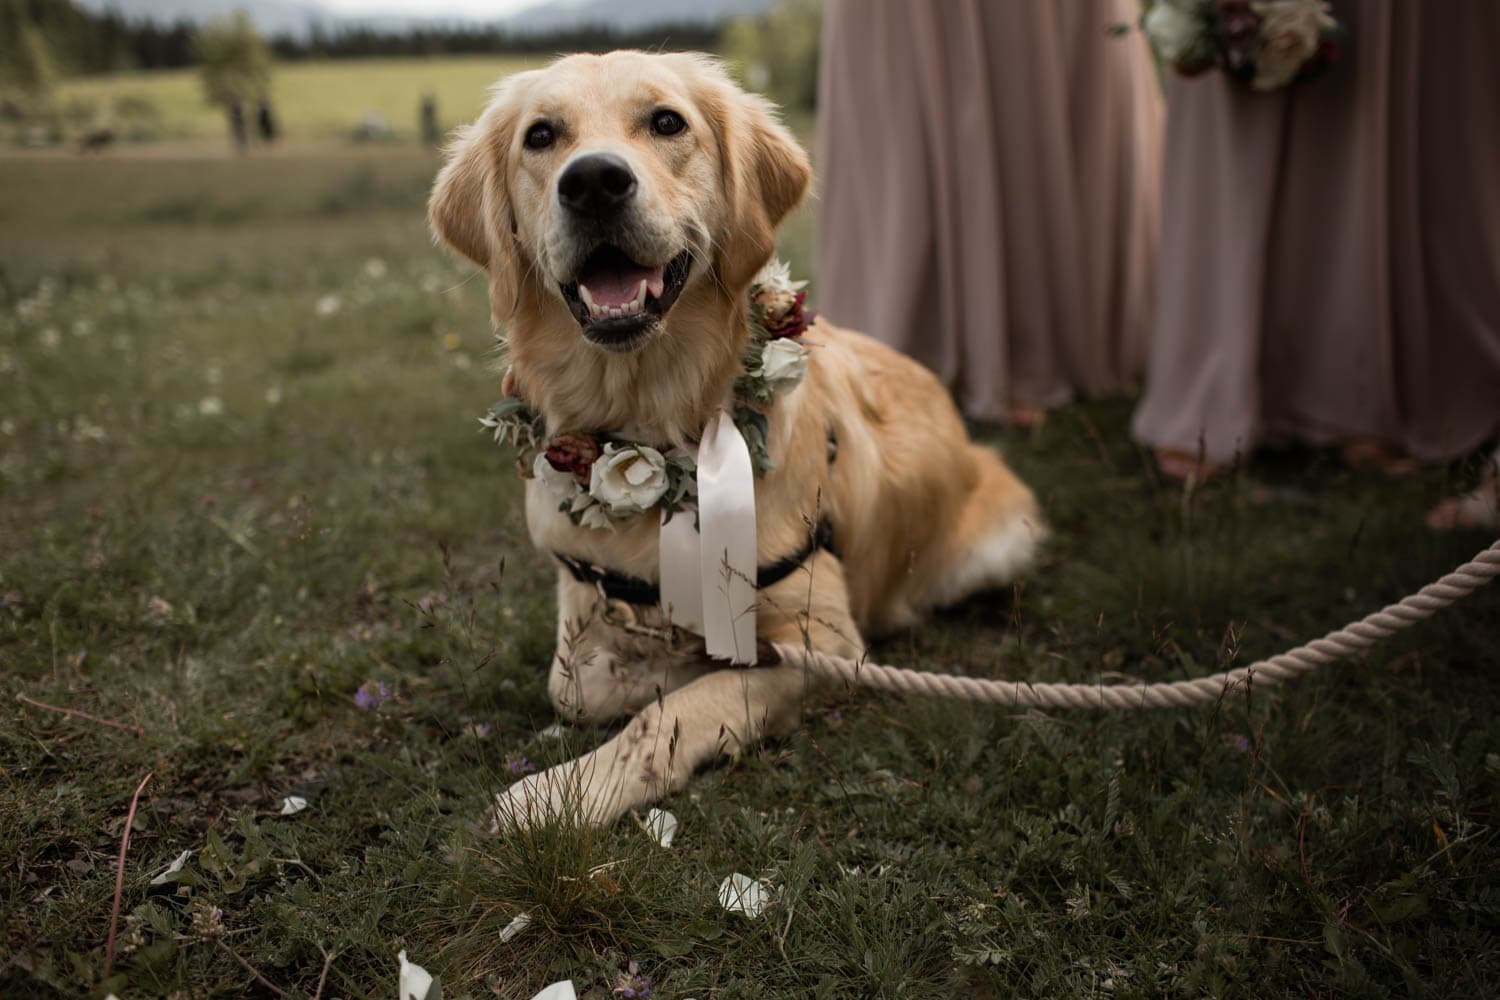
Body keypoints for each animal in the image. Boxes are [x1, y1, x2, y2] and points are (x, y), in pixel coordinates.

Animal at [432, 48, 1044, 827]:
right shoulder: (586, 600)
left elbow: (674, 712)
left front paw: (562, 793)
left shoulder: (824, 639)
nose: (594, 181)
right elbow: (579, 685)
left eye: (667, 122)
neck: (651, 424)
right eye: (541, 136)